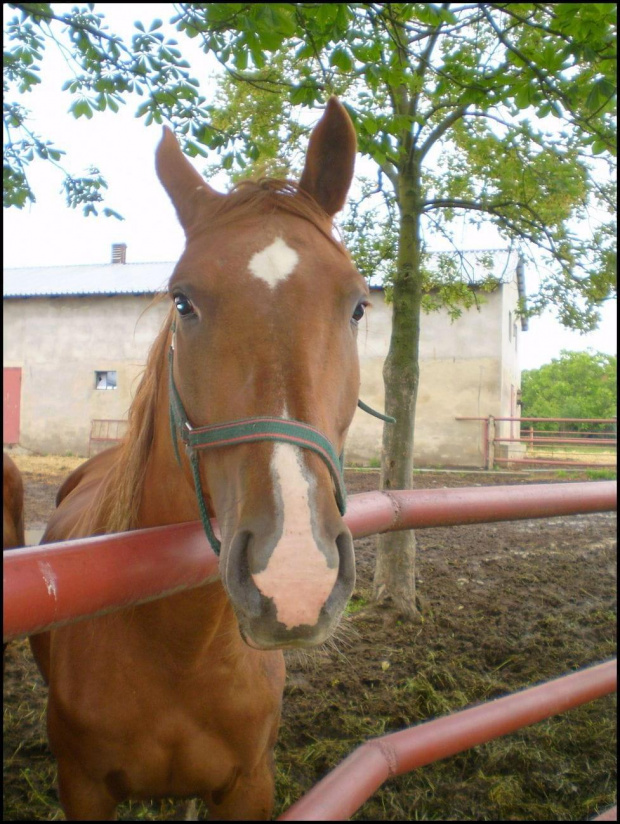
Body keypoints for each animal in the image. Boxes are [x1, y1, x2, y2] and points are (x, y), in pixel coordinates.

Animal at [29, 96, 368, 816]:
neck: (179, 648)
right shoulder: (83, 786)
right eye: (183, 301)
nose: (295, 575)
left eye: (357, 305)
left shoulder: (248, 784)